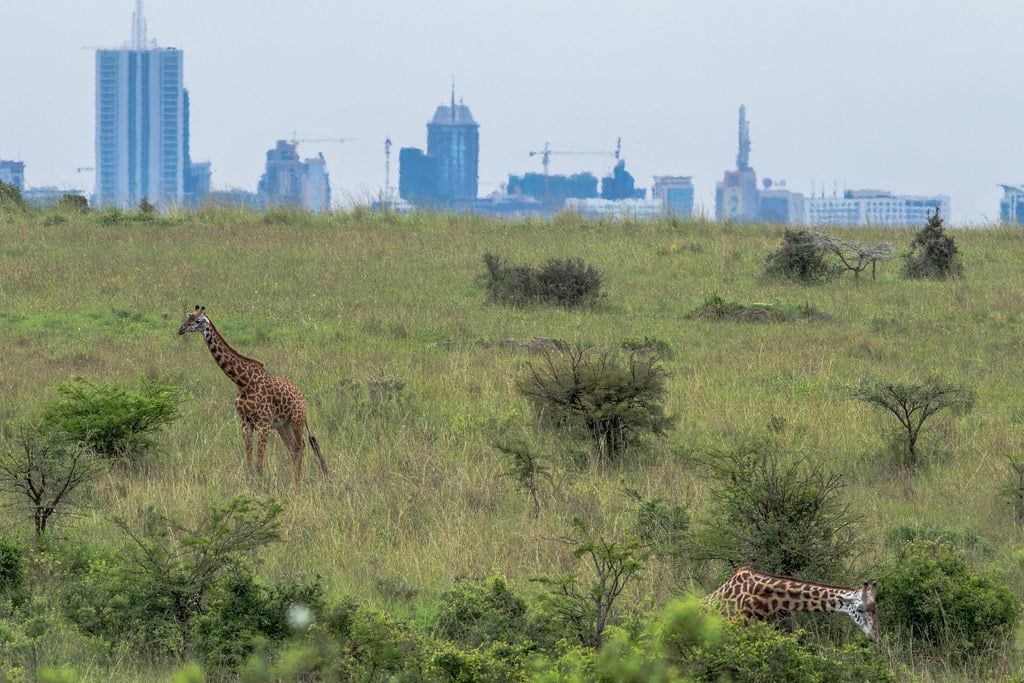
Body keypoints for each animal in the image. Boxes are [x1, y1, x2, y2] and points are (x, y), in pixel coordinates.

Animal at [178, 306, 328, 485]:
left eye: (198, 321)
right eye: (188, 318)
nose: (180, 330)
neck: (243, 382)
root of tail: (302, 397)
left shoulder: (263, 423)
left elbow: (259, 463)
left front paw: (261, 484)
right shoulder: (245, 423)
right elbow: (250, 461)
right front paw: (251, 483)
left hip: (296, 421)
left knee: (300, 446)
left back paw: (295, 484)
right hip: (283, 425)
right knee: (295, 448)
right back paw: (295, 482)